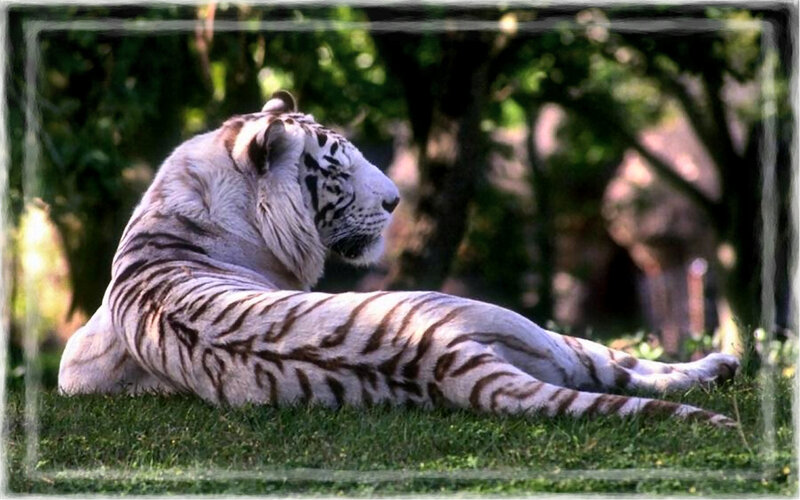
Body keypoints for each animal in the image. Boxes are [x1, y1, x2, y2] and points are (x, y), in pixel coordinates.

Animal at [58, 90, 740, 427]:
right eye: (337, 167)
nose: (395, 199)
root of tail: (435, 357)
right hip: (520, 326)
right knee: (614, 364)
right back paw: (722, 365)